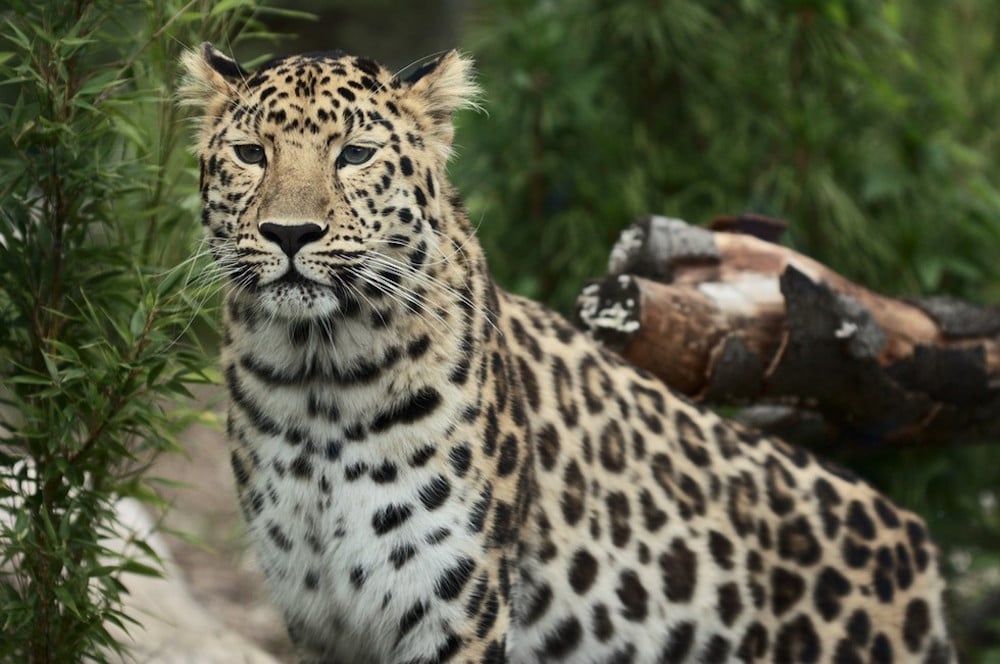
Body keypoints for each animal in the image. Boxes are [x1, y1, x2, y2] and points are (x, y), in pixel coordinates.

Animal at [180, 44, 952, 660]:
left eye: (355, 155)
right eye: (251, 154)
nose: (289, 233)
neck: (318, 375)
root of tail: (916, 544)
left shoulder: (453, 604)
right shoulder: (317, 615)